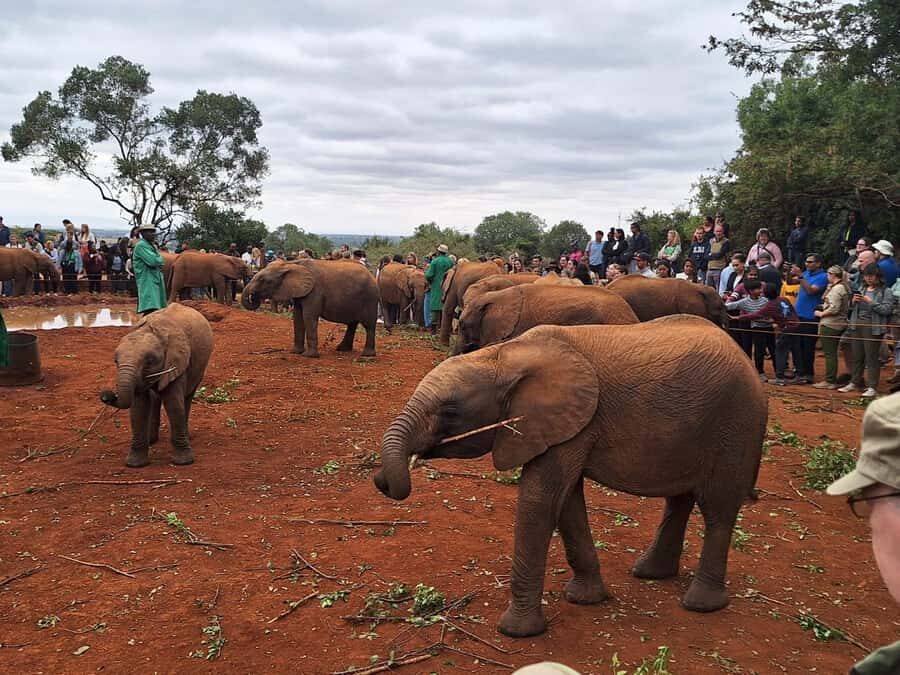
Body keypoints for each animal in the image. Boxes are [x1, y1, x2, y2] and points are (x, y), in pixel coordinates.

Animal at [99, 303, 214, 467]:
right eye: (116, 361)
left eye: (150, 361)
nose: (106, 396)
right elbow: (138, 408)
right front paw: (135, 464)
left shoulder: (177, 362)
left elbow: (173, 404)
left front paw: (183, 462)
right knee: (154, 399)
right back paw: (152, 440)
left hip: (200, 366)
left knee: (187, 396)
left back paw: (186, 437)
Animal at [242, 259, 378, 357]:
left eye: (263, 280)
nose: (253, 297)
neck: (291, 264)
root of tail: (371, 275)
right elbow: (297, 317)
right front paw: (295, 352)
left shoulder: (315, 291)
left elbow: (308, 316)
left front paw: (309, 356)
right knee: (352, 324)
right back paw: (342, 349)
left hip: (370, 298)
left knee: (369, 325)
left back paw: (367, 355)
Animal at [374, 316, 767, 637]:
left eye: (451, 411)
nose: (382, 481)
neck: (505, 355)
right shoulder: (565, 426)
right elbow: (566, 502)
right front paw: (585, 599)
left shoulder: (572, 420)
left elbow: (541, 498)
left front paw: (517, 632)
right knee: (680, 500)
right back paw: (651, 573)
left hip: (737, 425)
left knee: (717, 509)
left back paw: (700, 604)